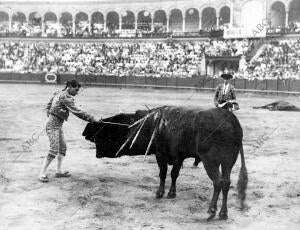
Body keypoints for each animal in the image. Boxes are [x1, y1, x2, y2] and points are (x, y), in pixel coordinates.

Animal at [82, 107, 248, 220]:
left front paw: (160, 193)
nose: (86, 133)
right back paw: (223, 213)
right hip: (228, 162)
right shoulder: (178, 157)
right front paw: (171, 193)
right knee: (226, 182)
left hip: (210, 161)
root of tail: (231, 120)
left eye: (107, 132)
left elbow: (162, 173)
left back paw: (212, 211)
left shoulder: (160, 155)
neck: (149, 124)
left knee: (218, 182)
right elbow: (174, 174)